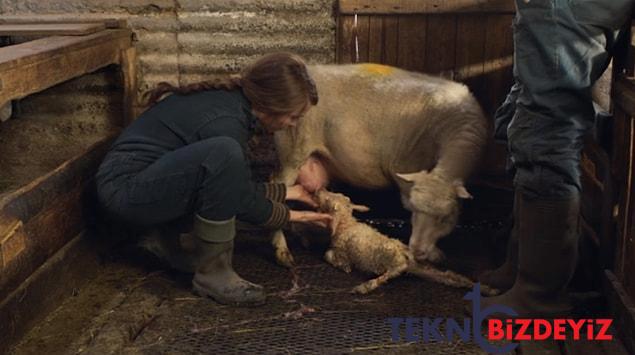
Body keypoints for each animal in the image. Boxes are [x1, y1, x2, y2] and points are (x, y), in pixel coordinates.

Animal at [316, 191, 500, 296]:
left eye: (327, 198)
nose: (319, 190)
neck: (346, 224)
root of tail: (406, 253)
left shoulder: (339, 248)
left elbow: (327, 254)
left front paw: (344, 266)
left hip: (390, 257)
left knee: (393, 271)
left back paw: (365, 286)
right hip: (423, 269)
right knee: (450, 276)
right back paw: (486, 289)